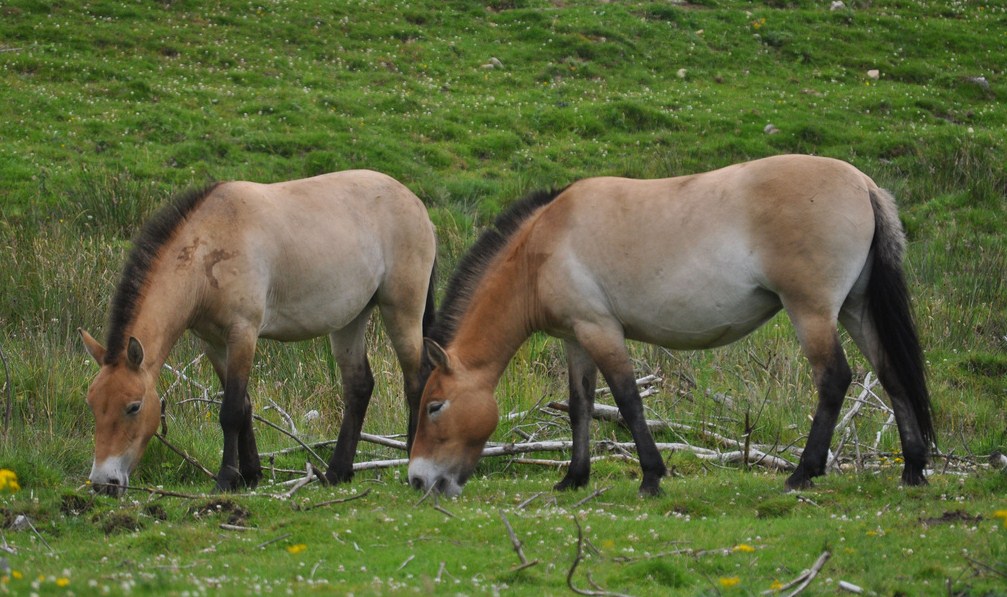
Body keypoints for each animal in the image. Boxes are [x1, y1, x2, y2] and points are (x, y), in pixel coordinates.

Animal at [80, 170, 437, 496]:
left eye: (133, 407)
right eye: (93, 405)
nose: (103, 483)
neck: (209, 247)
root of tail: (415, 203)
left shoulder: (243, 333)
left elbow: (231, 410)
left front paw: (226, 478)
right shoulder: (213, 343)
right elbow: (244, 405)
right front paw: (250, 474)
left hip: (401, 310)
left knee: (416, 380)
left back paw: (412, 460)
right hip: (350, 320)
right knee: (359, 387)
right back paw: (338, 471)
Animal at [408, 154, 933, 497]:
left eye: (435, 406)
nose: (418, 479)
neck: (545, 245)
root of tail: (863, 184)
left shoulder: (600, 331)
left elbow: (627, 401)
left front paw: (651, 477)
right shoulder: (576, 339)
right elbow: (580, 407)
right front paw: (573, 478)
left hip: (812, 313)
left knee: (834, 379)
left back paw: (803, 473)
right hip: (856, 309)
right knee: (890, 374)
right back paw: (912, 468)